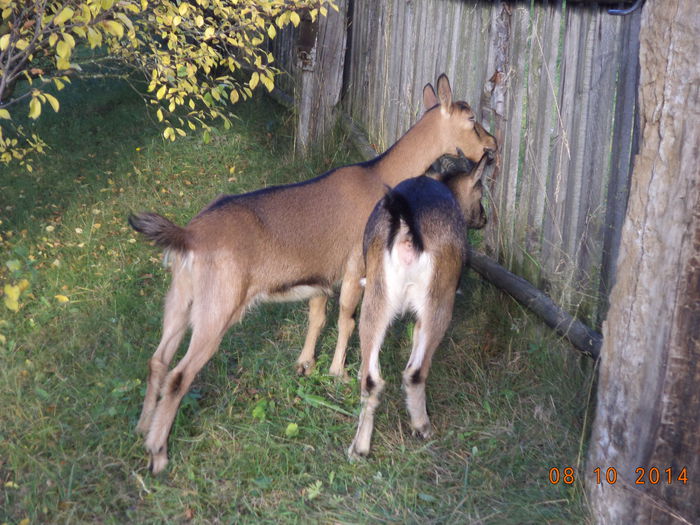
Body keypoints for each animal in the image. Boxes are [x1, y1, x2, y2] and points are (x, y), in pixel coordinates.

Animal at [348, 157, 490, 458]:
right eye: (480, 192)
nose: (484, 218)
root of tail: (407, 229)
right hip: (438, 301)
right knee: (415, 372)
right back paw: (422, 426)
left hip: (377, 295)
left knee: (371, 378)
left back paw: (359, 448)